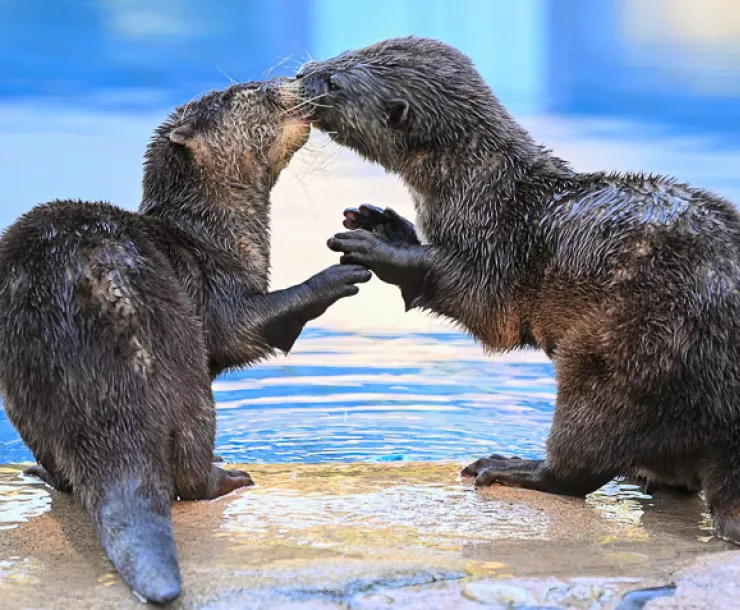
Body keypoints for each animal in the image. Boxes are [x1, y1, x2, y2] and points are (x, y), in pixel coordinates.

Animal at [0, 79, 370, 603]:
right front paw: (340, 272)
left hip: (22, 387)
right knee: (191, 469)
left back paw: (44, 474)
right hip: (185, 372)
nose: (295, 82)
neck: (211, 236)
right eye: (252, 91)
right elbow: (245, 330)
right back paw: (228, 476)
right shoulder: (220, 288)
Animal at [295, 36, 740, 544]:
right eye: (342, 54)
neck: (480, 190)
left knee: (579, 465)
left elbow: (482, 305)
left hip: (623, 356)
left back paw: (511, 466)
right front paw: (381, 222)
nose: (299, 76)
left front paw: (378, 246)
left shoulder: (499, 247)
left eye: (334, 82)